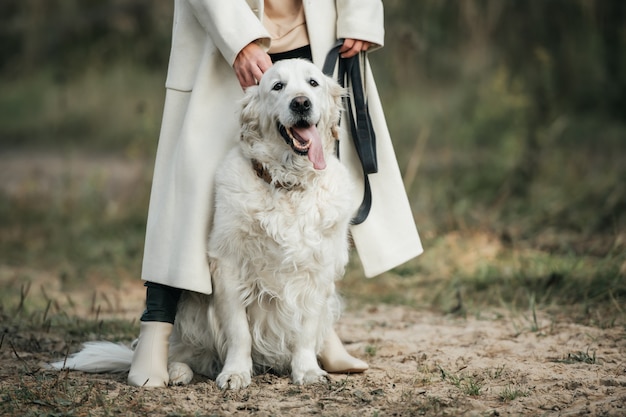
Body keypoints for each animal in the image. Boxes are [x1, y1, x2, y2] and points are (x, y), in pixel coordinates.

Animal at [50, 60, 356, 388]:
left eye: (313, 83)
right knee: (182, 350)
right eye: (277, 86)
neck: (286, 184)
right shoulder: (229, 268)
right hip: (190, 314)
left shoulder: (317, 271)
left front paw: (307, 370)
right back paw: (173, 371)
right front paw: (235, 373)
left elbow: (306, 330)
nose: (301, 103)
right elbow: (239, 332)